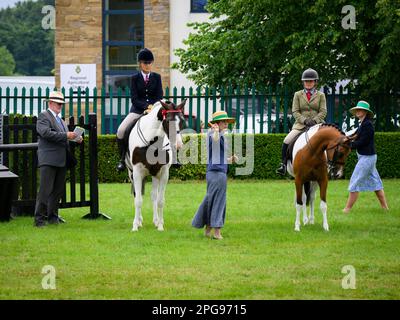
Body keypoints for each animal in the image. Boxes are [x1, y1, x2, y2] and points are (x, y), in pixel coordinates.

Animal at [125, 99, 186, 230]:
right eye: (168, 120)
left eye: (182, 120)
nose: (178, 144)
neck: (152, 141)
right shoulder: (136, 172)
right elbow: (138, 200)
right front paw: (135, 226)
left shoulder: (163, 173)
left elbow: (160, 200)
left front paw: (160, 225)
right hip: (131, 173)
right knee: (137, 194)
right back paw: (139, 220)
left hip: (154, 175)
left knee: (154, 195)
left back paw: (156, 220)